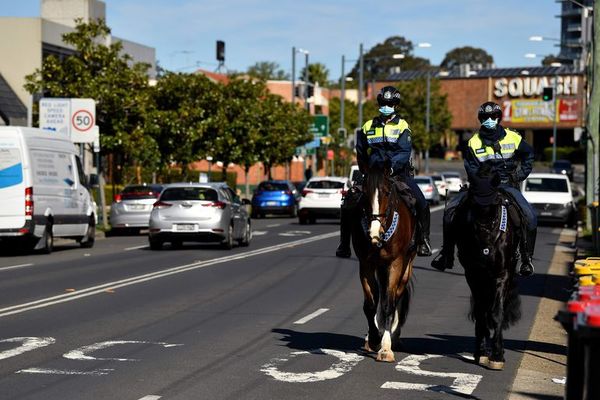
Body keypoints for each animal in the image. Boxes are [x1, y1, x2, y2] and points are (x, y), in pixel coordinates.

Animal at [352, 167, 418, 360]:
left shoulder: (396, 264)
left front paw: (386, 347)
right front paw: (374, 338)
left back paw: (393, 337)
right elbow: (370, 305)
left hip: (405, 268)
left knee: (395, 298)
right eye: (364, 192)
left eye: (387, 192)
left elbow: (389, 304)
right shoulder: (365, 265)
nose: (374, 233)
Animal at [454, 167, 520, 370]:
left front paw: (497, 356)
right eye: (471, 205)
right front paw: (482, 352)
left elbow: (497, 313)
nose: (485, 250)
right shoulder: (473, 275)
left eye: (495, 206)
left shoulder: (502, 274)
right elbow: (481, 312)